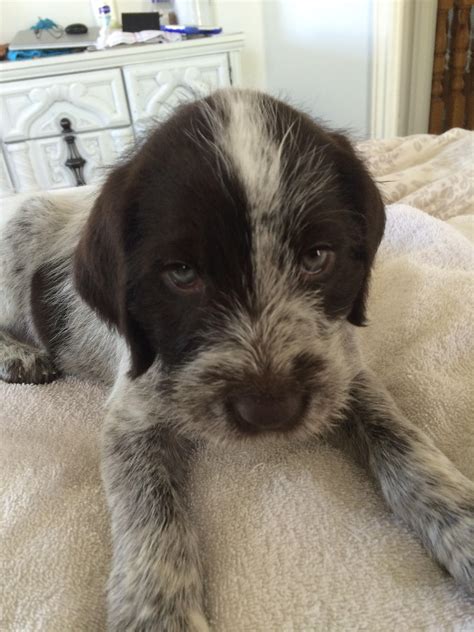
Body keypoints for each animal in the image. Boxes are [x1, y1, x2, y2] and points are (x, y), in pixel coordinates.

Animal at [0, 90, 472, 632]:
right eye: (182, 274)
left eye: (317, 257)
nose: (271, 411)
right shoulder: (133, 417)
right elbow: (150, 511)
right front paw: (159, 615)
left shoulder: (343, 370)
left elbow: (401, 439)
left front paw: (463, 526)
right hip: (17, 242)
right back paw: (18, 353)